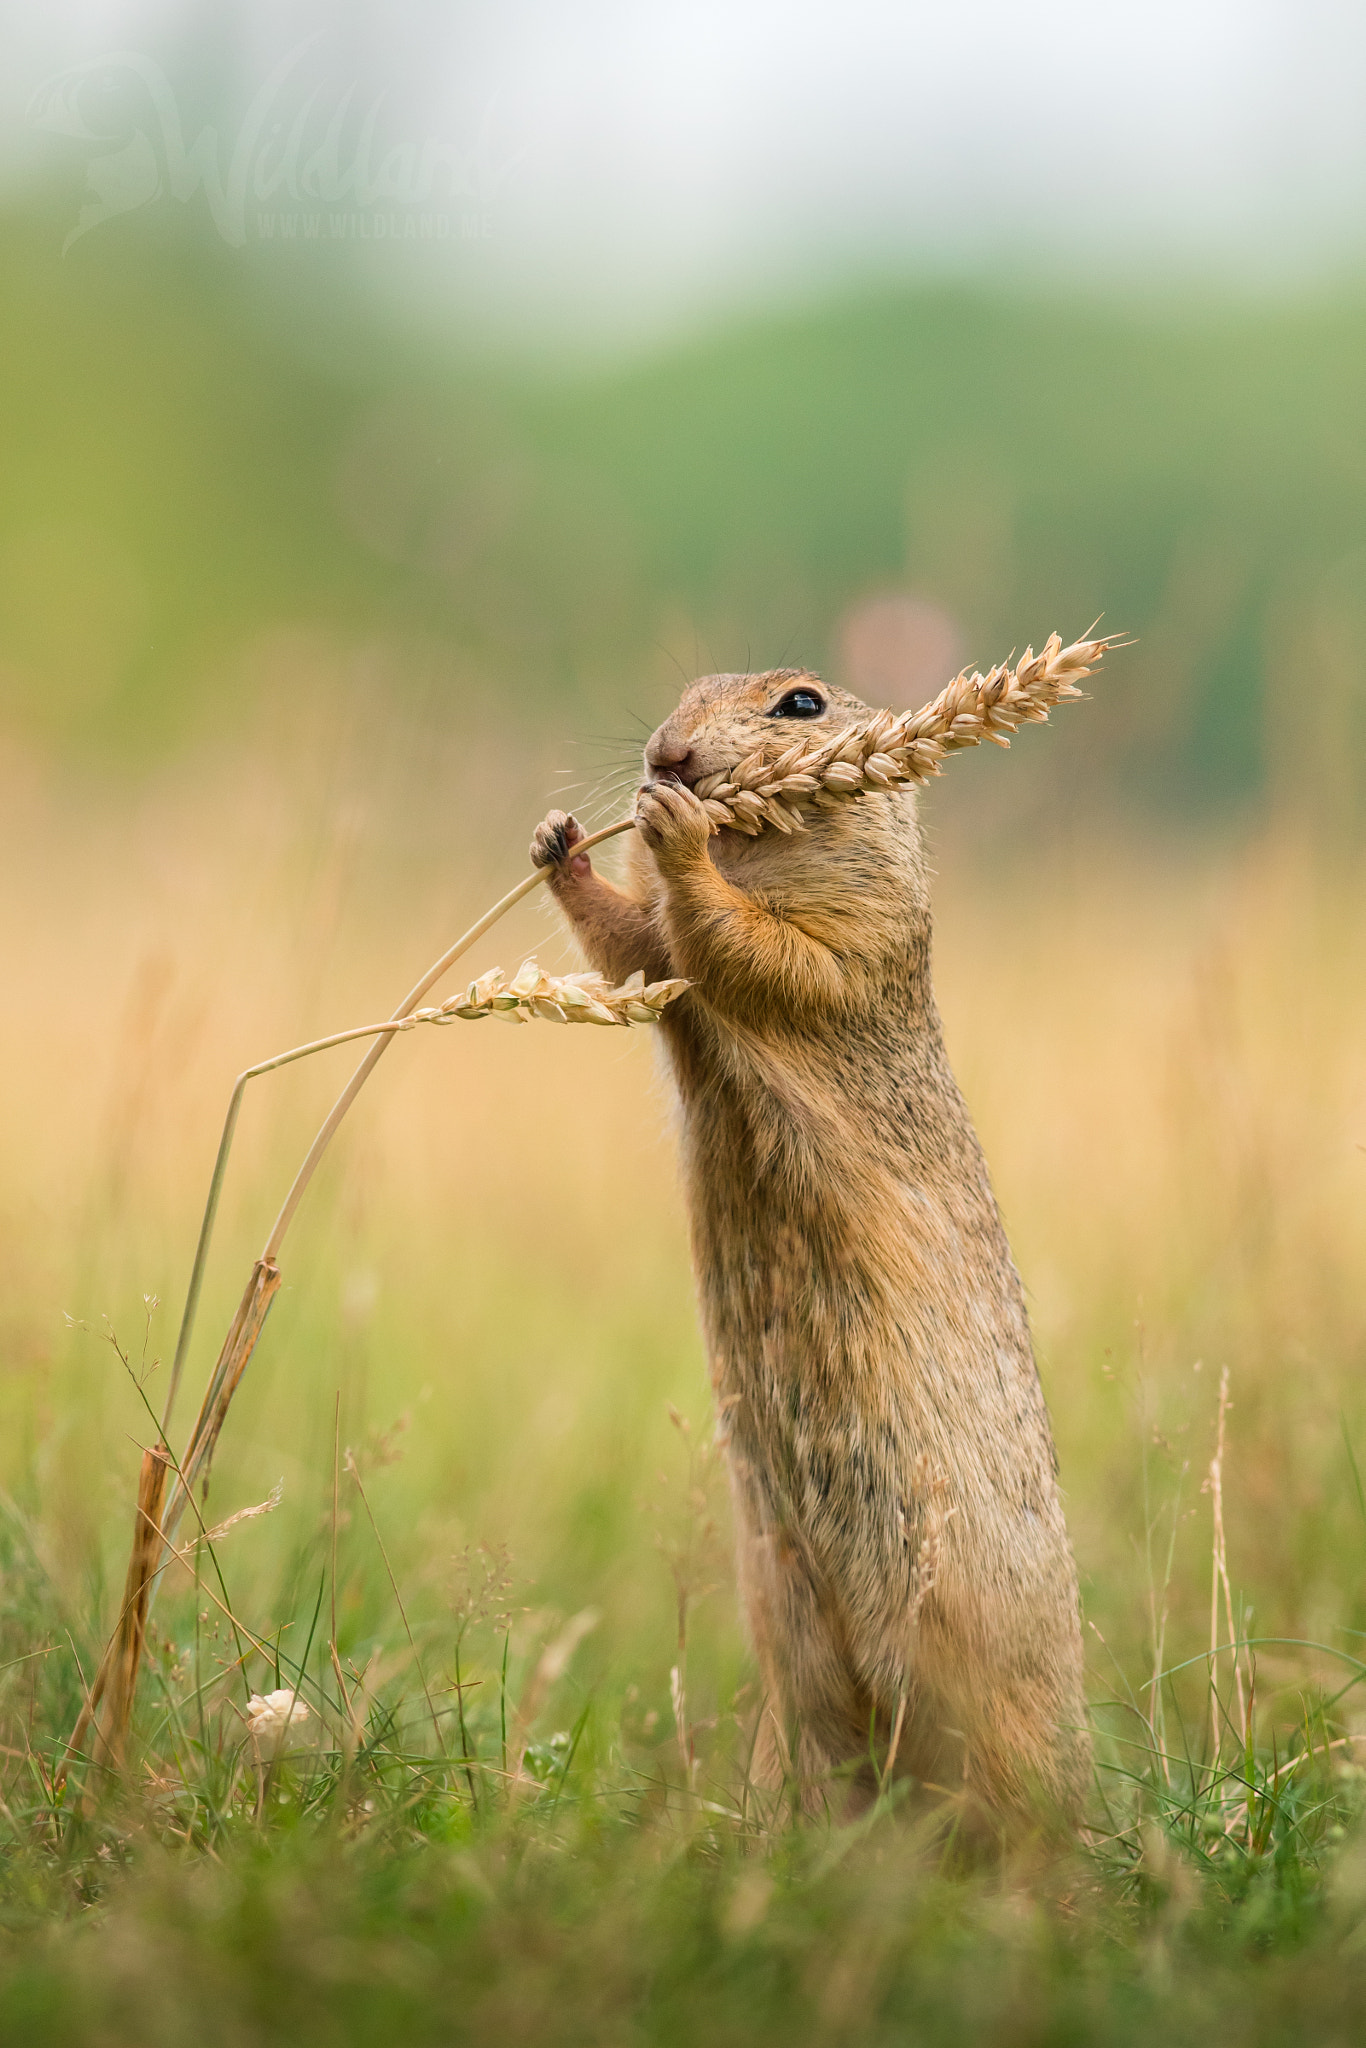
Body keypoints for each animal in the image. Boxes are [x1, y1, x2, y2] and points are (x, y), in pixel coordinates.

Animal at [532, 663, 1089, 1835]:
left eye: (800, 703)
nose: (665, 754)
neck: (762, 849)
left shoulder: (857, 934)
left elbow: (759, 949)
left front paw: (674, 832)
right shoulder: (668, 971)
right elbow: (636, 947)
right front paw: (561, 840)